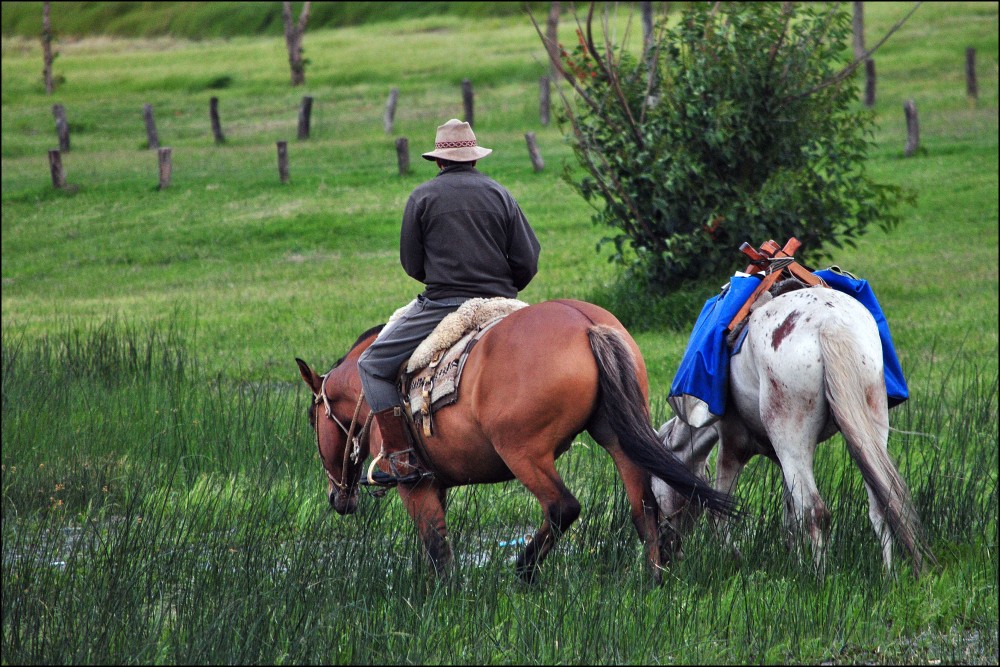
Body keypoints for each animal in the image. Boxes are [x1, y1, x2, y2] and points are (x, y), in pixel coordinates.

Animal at [294, 298, 736, 584]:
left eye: (312, 418)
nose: (338, 498)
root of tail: (585, 323)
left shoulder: (413, 485)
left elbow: (436, 546)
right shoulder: (436, 484)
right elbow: (435, 542)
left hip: (524, 453)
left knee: (562, 507)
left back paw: (524, 570)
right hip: (618, 438)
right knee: (642, 507)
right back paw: (654, 577)